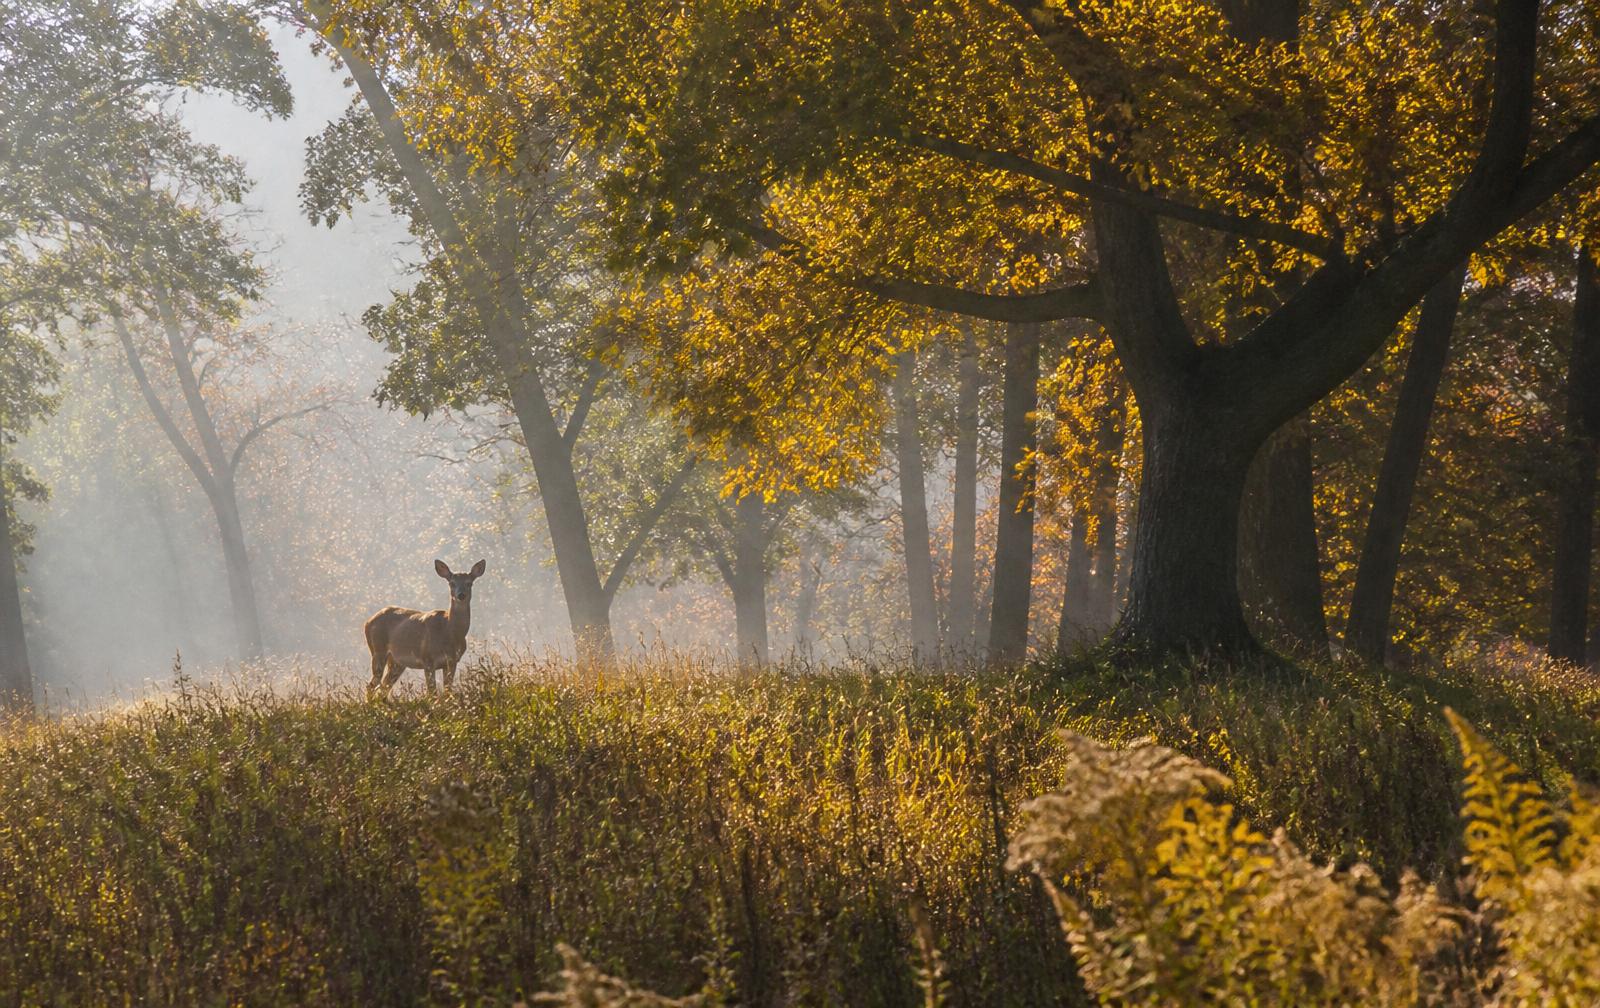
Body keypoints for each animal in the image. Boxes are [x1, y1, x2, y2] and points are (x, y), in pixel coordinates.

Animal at [365, 559, 485, 697]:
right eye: (452, 583)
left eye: (469, 583)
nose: (461, 595)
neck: (449, 632)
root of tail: (367, 622)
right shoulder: (427, 659)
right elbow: (432, 692)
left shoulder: (452, 661)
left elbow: (448, 691)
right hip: (378, 650)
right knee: (372, 685)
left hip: (396, 662)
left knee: (384, 687)